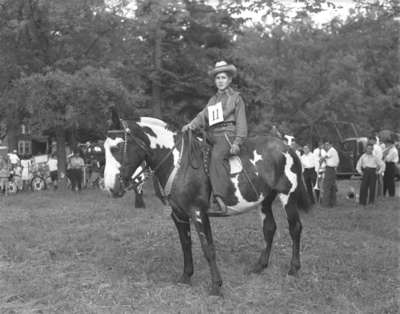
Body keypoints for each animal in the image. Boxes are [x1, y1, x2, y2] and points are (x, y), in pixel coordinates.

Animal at [104, 109, 310, 296]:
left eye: (117, 147)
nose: (110, 187)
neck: (179, 164)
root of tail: (288, 149)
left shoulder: (198, 213)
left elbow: (208, 248)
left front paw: (216, 286)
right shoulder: (179, 215)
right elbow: (186, 244)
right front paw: (186, 277)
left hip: (288, 196)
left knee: (295, 228)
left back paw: (293, 268)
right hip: (265, 200)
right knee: (269, 228)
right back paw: (260, 266)